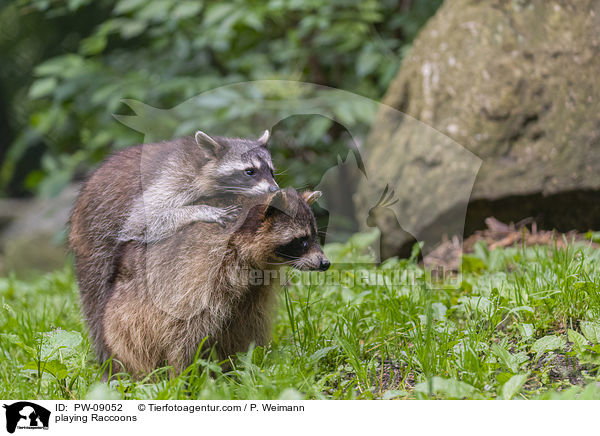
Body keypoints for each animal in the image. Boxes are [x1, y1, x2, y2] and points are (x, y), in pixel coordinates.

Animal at [68, 129, 278, 362]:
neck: (201, 161)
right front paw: (200, 210)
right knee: (98, 292)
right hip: (95, 237)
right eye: (250, 171)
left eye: (271, 170)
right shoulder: (172, 178)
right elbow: (142, 221)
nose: (275, 188)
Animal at [101, 187, 330, 374]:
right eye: (302, 241)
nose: (326, 263)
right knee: (136, 343)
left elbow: (251, 322)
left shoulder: (255, 289)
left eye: (314, 237)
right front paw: (185, 372)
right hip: (125, 316)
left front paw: (252, 359)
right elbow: (184, 329)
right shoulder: (199, 274)